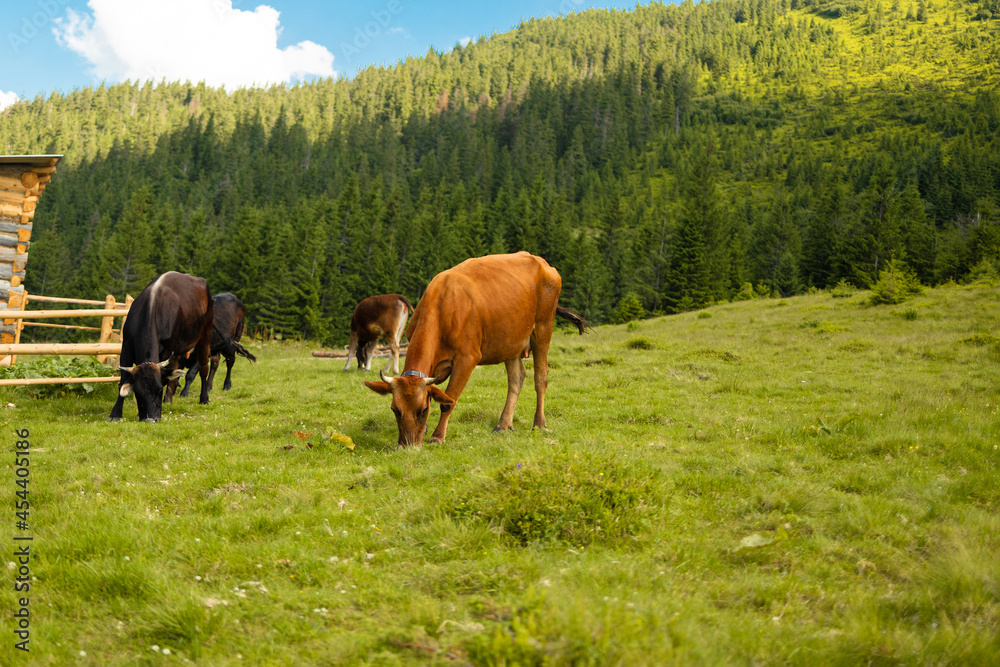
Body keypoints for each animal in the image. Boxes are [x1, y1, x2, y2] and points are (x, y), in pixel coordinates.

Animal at [109, 272, 215, 422]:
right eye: (137, 392)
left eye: (159, 389)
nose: (150, 419)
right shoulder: (126, 350)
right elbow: (122, 380)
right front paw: (116, 414)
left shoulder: (166, 352)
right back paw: (168, 399)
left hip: (206, 334)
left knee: (203, 368)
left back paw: (204, 398)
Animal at [366, 253, 584, 446]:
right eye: (395, 409)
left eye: (423, 410)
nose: (406, 445)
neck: (442, 306)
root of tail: (544, 263)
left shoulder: (467, 359)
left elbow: (448, 401)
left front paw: (437, 437)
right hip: (511, 342)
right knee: (516, 379)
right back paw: (503, 424)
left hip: (543, 328)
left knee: (541, 377)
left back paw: (539, 423)